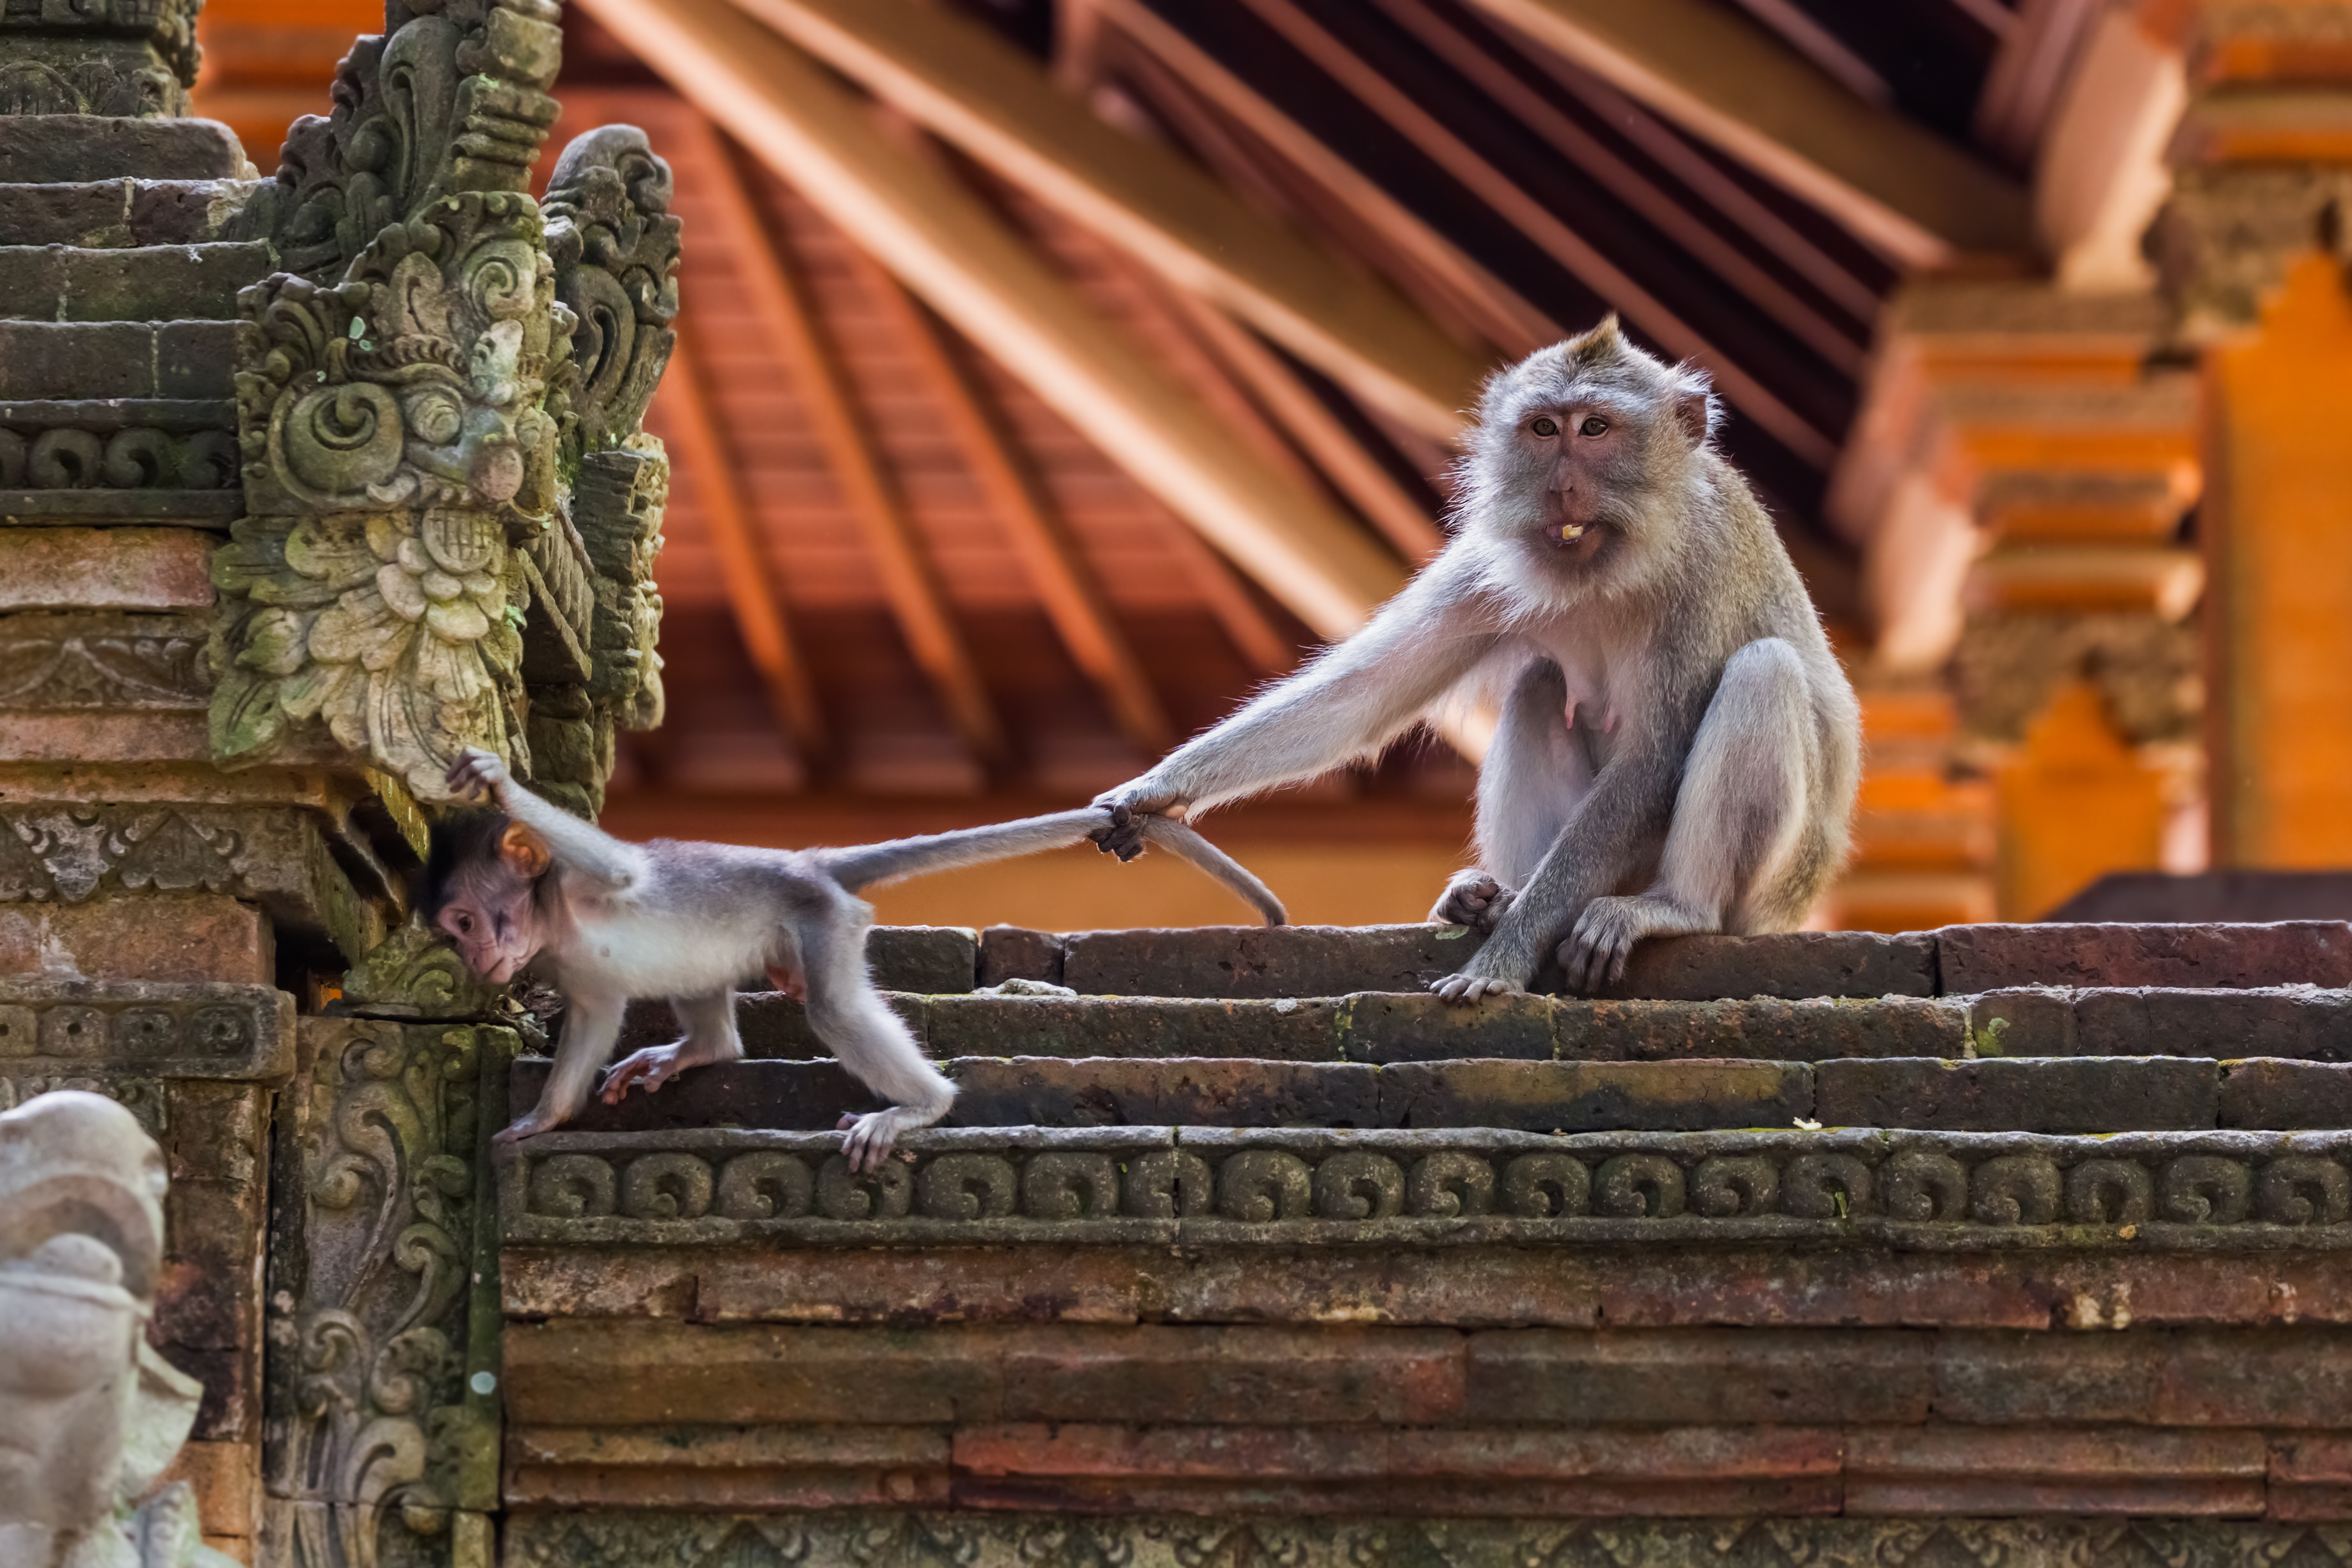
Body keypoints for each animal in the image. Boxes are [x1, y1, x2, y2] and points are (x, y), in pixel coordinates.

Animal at [426, 748, 1285, 1167]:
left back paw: (923, 1105)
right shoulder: (570, 970)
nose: (476, 959)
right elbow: (596, 1013)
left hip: (824, 919)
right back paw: (702, 1048)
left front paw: (497, 783)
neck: (551, 922)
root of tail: (808, 863)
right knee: (711, 992)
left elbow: (620, 872)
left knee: (834, 1008)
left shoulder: (578, 883)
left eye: (467, 918)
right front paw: (545, 1118)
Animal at [1093, 318, 1861, 1002]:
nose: (1561, 487)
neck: (1612, 564)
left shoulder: (1705, 565)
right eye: (1544, 430)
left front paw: (1505, 958)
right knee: (1540, 683)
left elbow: (1654, 756)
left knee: (1763, 671)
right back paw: (1493, 895)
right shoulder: (1487, 562)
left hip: (1773, 894)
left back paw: (1672, 909)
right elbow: (1365, 694)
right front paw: (1153, 790)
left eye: (1596, 429)